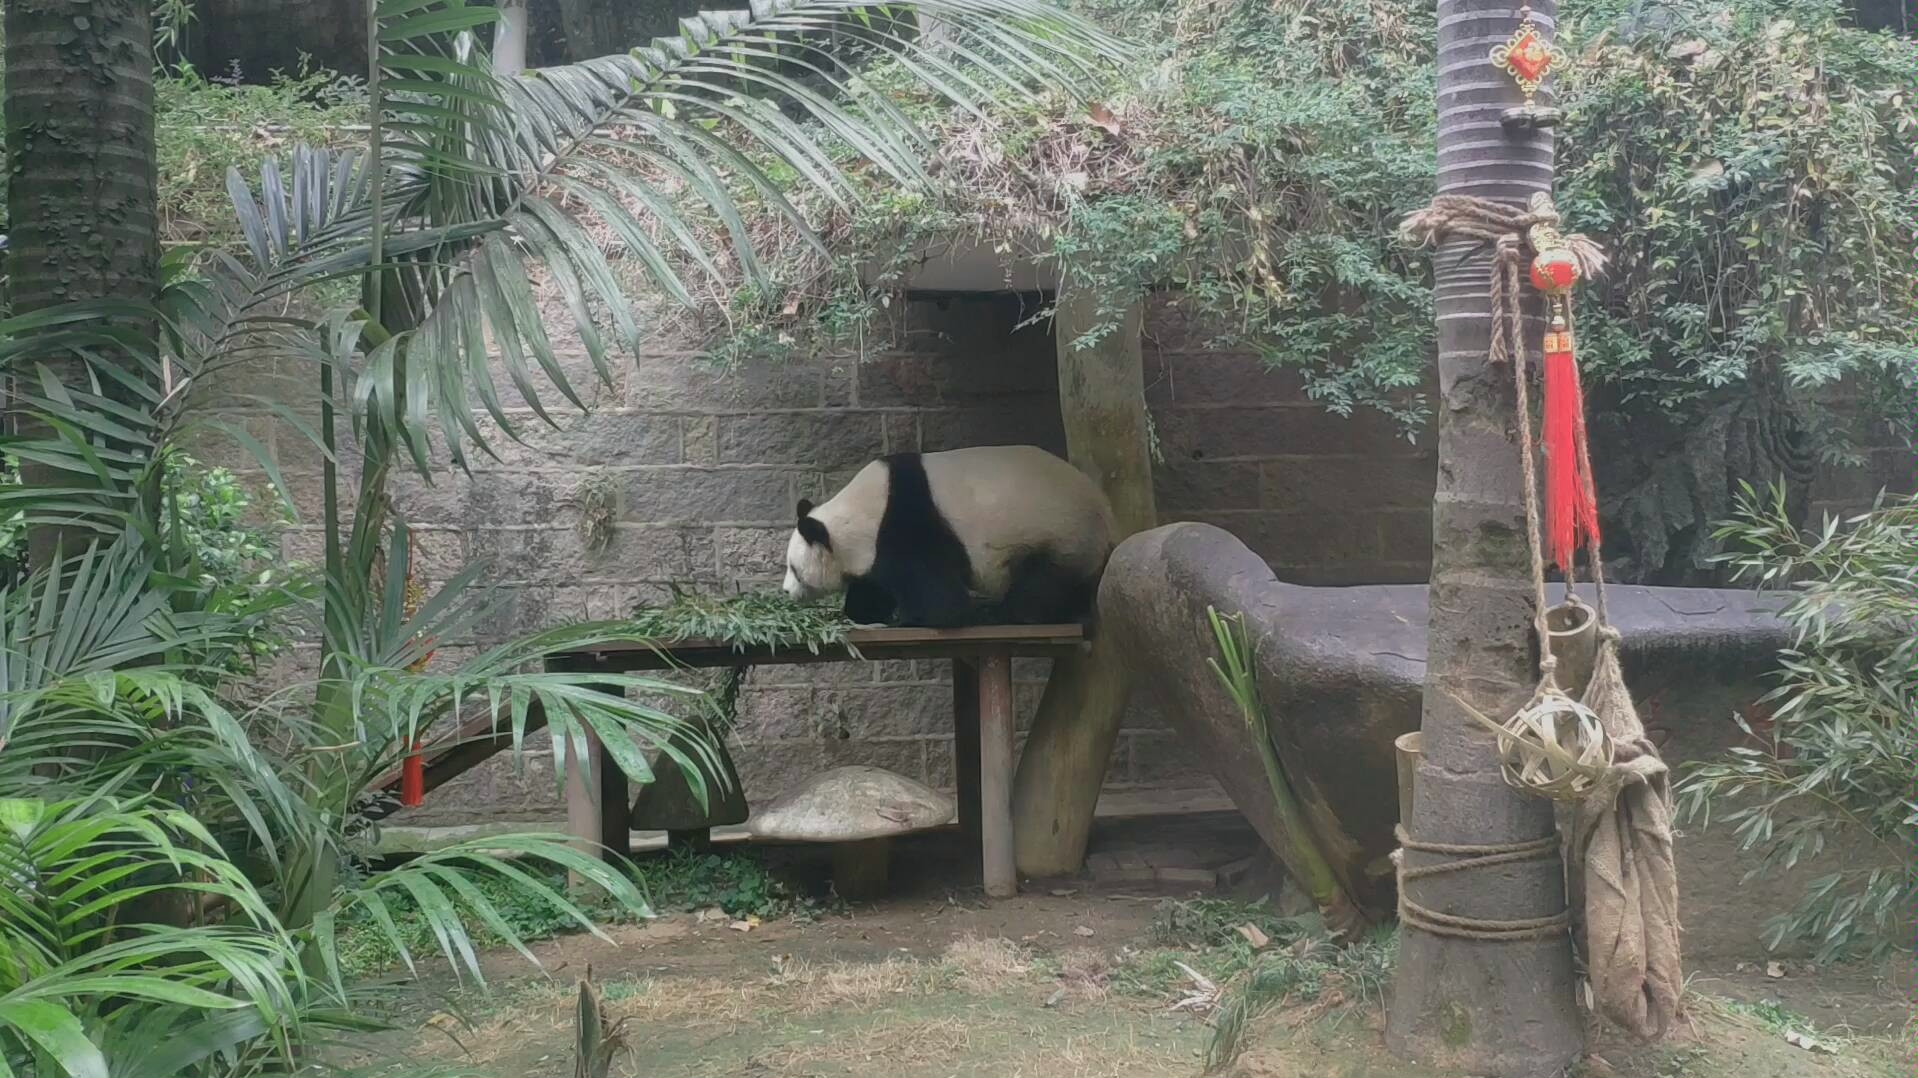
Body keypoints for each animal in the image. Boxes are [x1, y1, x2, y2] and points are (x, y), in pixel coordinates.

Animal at [782, 445, 1120, 629]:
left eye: (794, 569)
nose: (786, 591)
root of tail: (1107, 512)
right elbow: (874, 585)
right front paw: (863, 611)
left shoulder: (909, 524)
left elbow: (938, 596)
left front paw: (910, 618)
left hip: (1060, 533)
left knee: (1042, 582)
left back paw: (1006, 614)